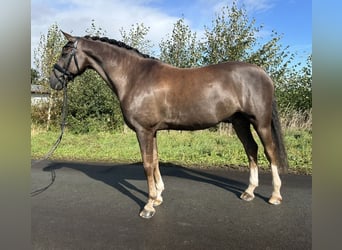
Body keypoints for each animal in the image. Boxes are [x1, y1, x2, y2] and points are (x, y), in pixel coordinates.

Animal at [49, 31, 288, 219]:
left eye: (65, 52)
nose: (53, 81)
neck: (133, 76)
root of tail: (263, 73)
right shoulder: (152, 131)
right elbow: (155, 161)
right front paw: (157, 197)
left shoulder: (143, 131)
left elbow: (147, 164)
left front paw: (148, 206)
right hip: (240, 122)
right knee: (251, 149)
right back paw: (249, 191)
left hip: (260, 123)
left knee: (269, 151)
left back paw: (275, 195)